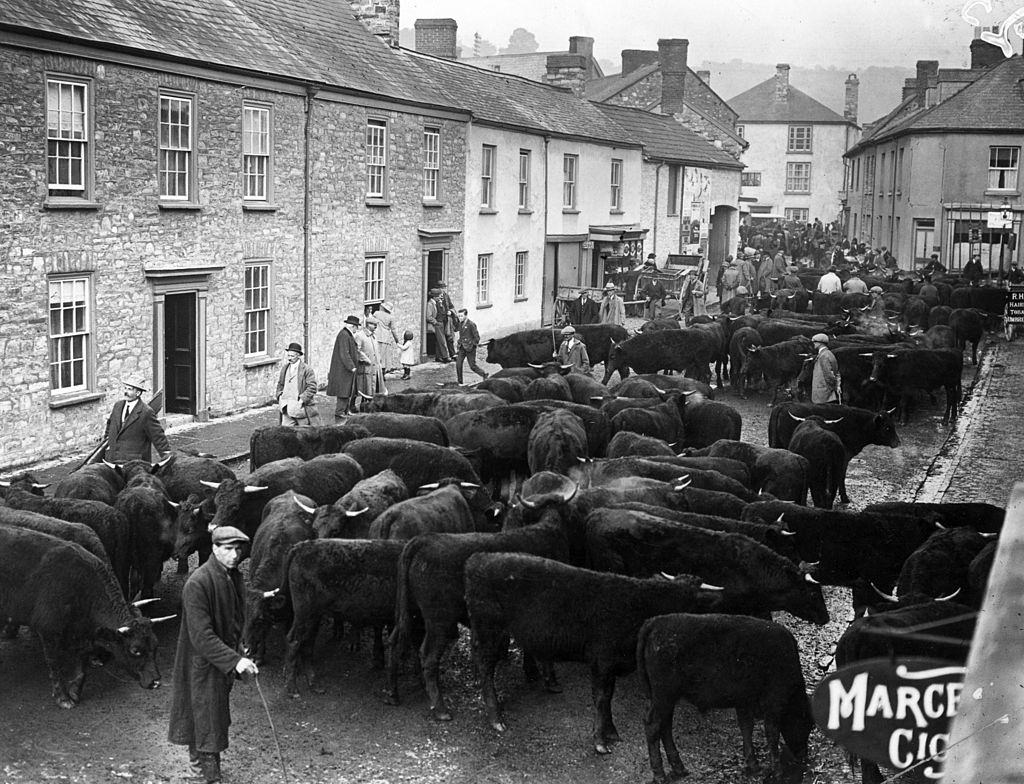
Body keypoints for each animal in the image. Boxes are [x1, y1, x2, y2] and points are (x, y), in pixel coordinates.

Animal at [0, 528, 165, 712]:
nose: (155, 681)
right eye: (135, 650)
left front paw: (75, 692)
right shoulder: (48, 631)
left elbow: (82, 667)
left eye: (156, 644)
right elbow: (55, 666)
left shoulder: (82, 634)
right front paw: (63, 698)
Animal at [468, 552, 724, 753]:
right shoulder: (602, 660)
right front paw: (600, 741)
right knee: (485, 667)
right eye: (686, 601)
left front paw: (611, 732)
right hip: (489, 630)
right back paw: (496, 718)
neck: (636, 606)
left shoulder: (611, 664)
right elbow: (601, 698)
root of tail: (479, 558)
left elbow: (608, 697)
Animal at [634, 618, 811, 781]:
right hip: (663, 696)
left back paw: (680, 768)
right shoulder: (772, 702)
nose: (803, 756)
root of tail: (655, 622)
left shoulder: (744, 702)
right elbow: (771, 733)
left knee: (665, 726)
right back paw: (660, 775)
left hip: (666, 699)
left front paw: (753, 764)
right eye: (805, 723)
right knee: (653, 726)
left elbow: (746, 727)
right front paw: (777, 771)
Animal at [765, 401, 901, 507]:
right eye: (887, 428)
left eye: (893, 425)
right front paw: (845, 498)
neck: (857, 423)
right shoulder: (845, 458)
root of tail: (782, 405)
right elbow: (841, 477)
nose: (898, 442)